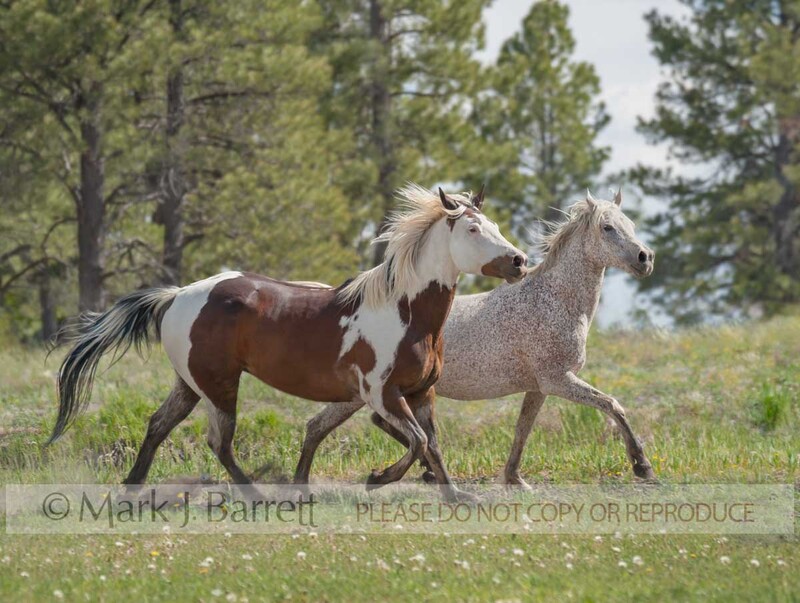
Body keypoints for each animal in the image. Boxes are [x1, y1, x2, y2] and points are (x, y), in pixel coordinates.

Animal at [49, 184, 527, 499]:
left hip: (190, 383)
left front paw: (455, 497)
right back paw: (258, 496)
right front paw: (377, 478)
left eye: (494, 224)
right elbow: (417, 443)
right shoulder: (383, 393)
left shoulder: (422, 393)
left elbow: (432, 445)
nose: (519, 261)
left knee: (157, 426)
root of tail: (176, 295)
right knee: (218, 443)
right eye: (472, 231)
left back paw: (131, 492)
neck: (405, 313)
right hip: (220, 386)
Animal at [295, 191, 656, 488]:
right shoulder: (557, 380)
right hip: (360, 393)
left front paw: (514, 478)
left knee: (370, 424)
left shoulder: (540, 387)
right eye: (607, 228)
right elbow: (612, 404)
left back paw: (425, 472)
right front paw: (642, 466)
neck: (554, 300)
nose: (645, 258)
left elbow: (522, 429)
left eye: (630, 224)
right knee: (318, 427)